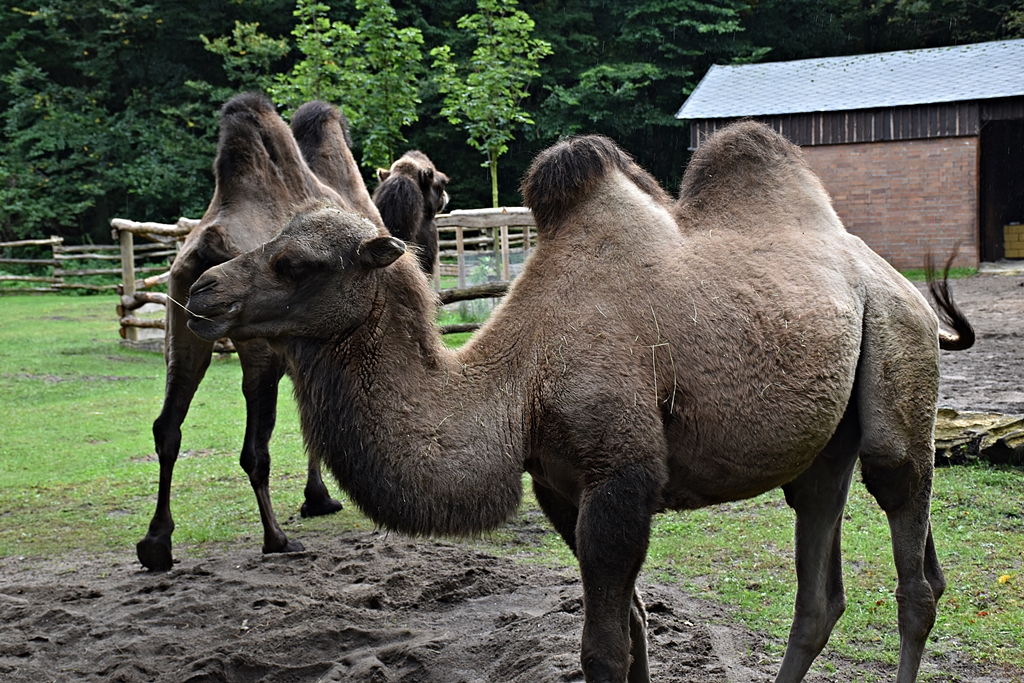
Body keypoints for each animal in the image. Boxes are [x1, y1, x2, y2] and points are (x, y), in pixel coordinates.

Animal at [137, 92, 379, 572]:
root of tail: (208, 241)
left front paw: (317, 498)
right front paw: (320, 499)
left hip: (183, 320)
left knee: (167, 424)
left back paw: (156, 544)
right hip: (255, 346)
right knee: (254, 449)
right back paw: (277, 539)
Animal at [181, 121, 973, 683]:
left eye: (296, 263)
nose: (201, 291)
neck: (517, 386)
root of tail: (892, 278)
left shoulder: (620, 479)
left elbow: (604, 651)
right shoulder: (560, 487)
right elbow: (636, 635)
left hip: (897, 364)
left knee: (913, 564)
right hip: (823, 440)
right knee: (820, 586)